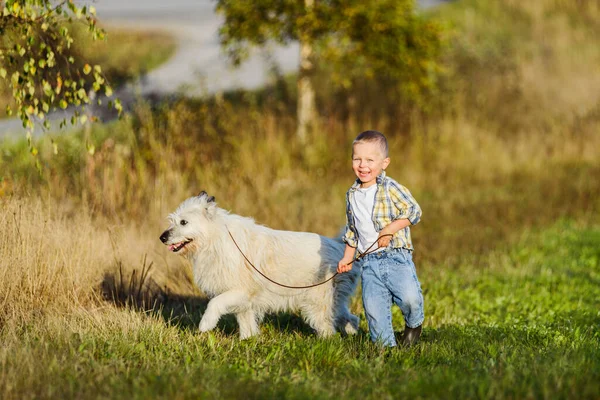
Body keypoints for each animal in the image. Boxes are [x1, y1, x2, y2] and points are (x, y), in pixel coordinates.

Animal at [158, 192, 360, 340]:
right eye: (172, 221)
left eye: (184, 222)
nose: (162, 237)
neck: (215, 238)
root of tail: (341, 248)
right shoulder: (243, 299)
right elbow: (245, 321)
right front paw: (247, 340)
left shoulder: (239, 290)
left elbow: (214, 303)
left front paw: (205, 324)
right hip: (333, 299)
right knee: (349, 317)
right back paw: (353, 333)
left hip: (317, 301)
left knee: (328, 326)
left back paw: (327, 342)